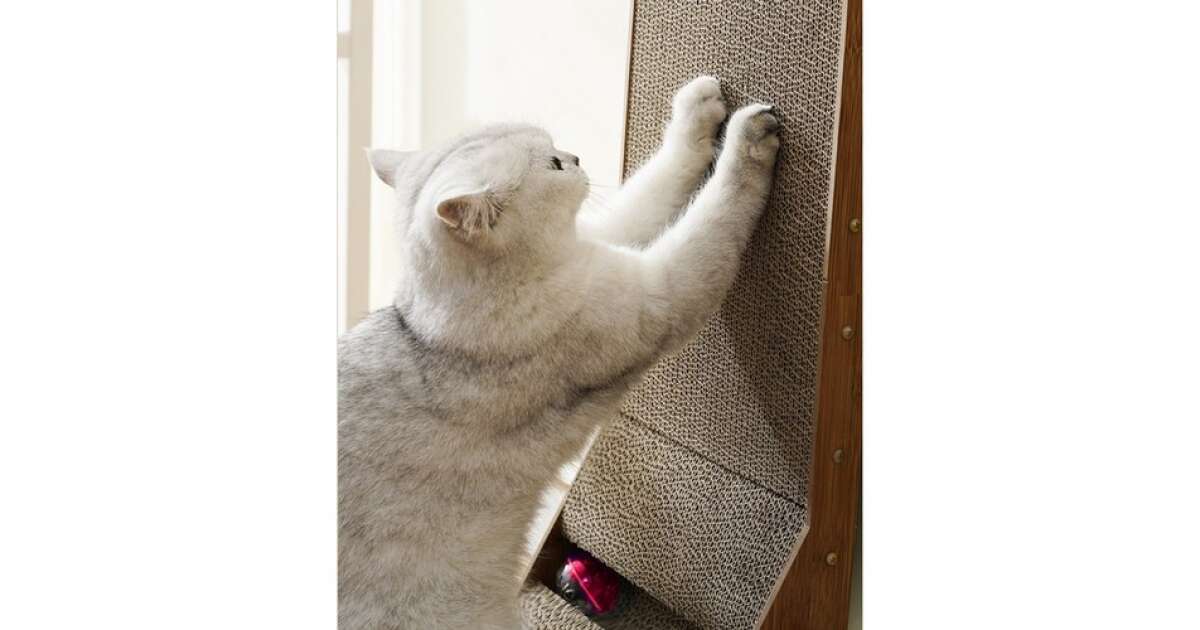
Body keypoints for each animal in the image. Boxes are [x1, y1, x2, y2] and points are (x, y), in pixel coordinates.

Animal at [338, 76, 780, 630]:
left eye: (557, 150)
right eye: (551, 165)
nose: (575, 157)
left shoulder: (600, 246)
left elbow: (661, 178)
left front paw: (698, 106)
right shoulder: (656, 293)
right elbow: (718, 208)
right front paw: (750, 136)